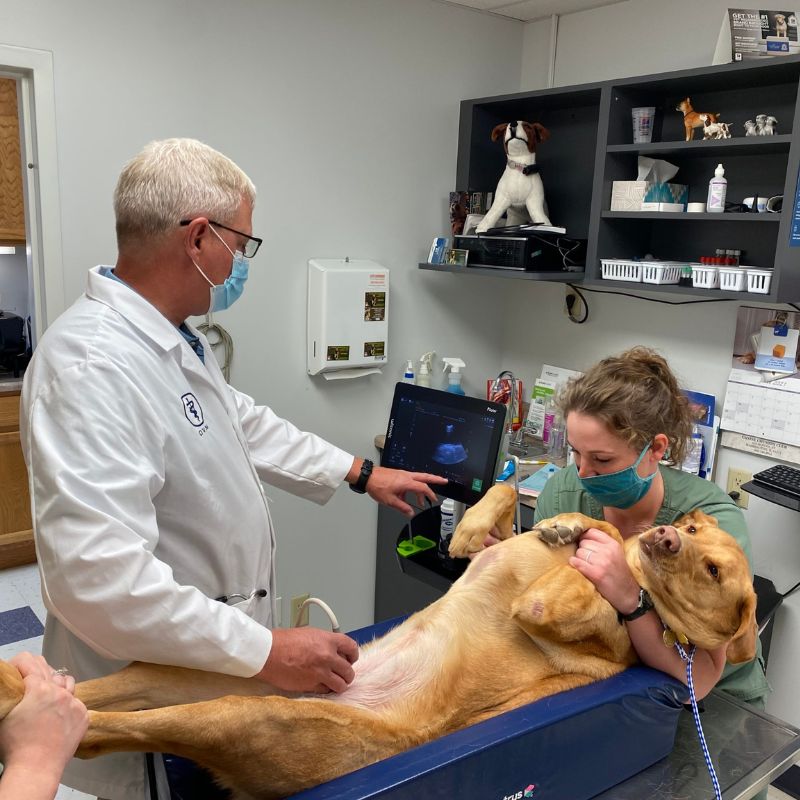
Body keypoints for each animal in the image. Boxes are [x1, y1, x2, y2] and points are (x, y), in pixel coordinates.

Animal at [0, 482, 756, 800]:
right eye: (694, 530)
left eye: (714, 571)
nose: (665, 536)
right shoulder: (475, 542)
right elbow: (499, 495)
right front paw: (563, 523)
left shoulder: (552, 606)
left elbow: (603, 573)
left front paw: (598, 550)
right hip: (200, 671)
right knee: (115, 689)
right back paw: (19, 683)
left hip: (251, 716)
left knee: (104, 728)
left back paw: (40, 715)